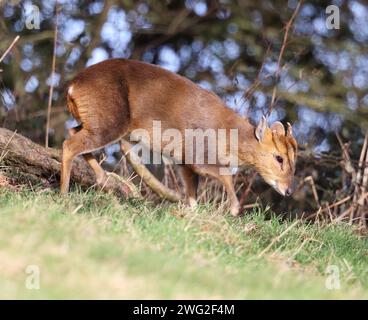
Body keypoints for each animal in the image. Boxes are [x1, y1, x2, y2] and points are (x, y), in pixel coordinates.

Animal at [61, 58, 298, 216]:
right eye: (279, 157)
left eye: (294, 160)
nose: (288, 190)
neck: (229, 138)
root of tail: (72, 87)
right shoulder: (198, 152)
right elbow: (224, 175)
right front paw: (233, 209)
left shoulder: (184, 161)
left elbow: (192, 195)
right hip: (110, 119)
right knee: (69, 144)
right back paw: (64, 194)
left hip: (97, 119)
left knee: (72, 132)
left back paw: (102, 177)